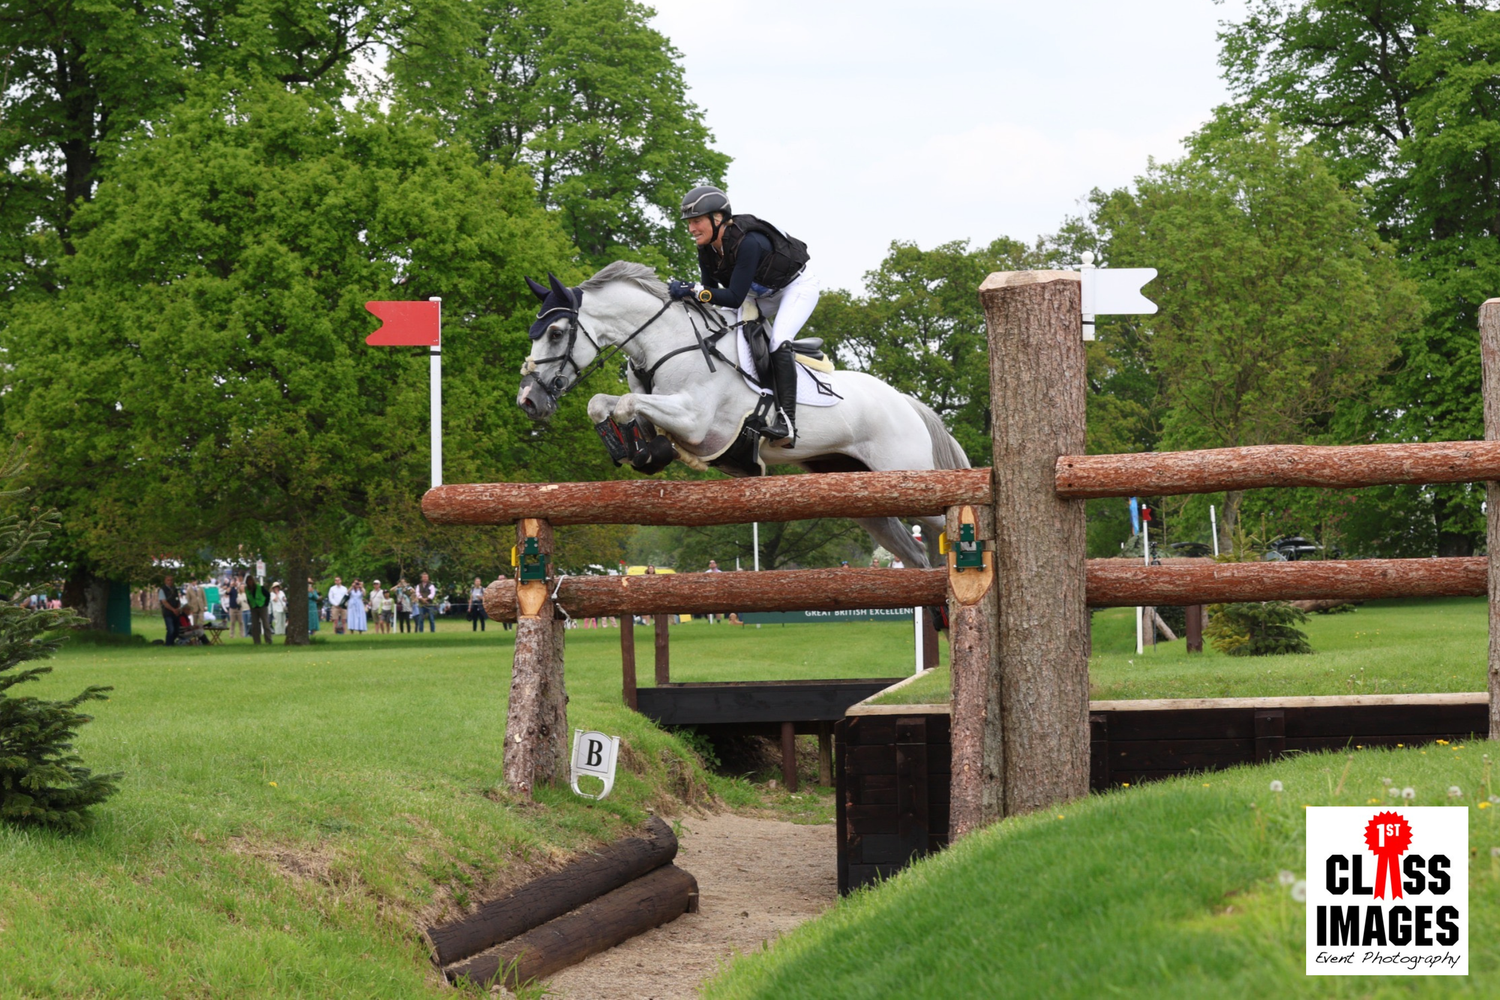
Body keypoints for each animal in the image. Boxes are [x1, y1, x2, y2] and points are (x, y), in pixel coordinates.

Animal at [516, 262, 971, 568]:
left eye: (556, 333)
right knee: (914, 554)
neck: (669, 342)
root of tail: (906, 402)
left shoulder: (697, 422)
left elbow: (628, 405)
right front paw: (637, 449)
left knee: (947, 530)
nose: (529, 401)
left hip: (911, 478)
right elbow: (604, 403)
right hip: (863, 495)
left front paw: (647, 451)